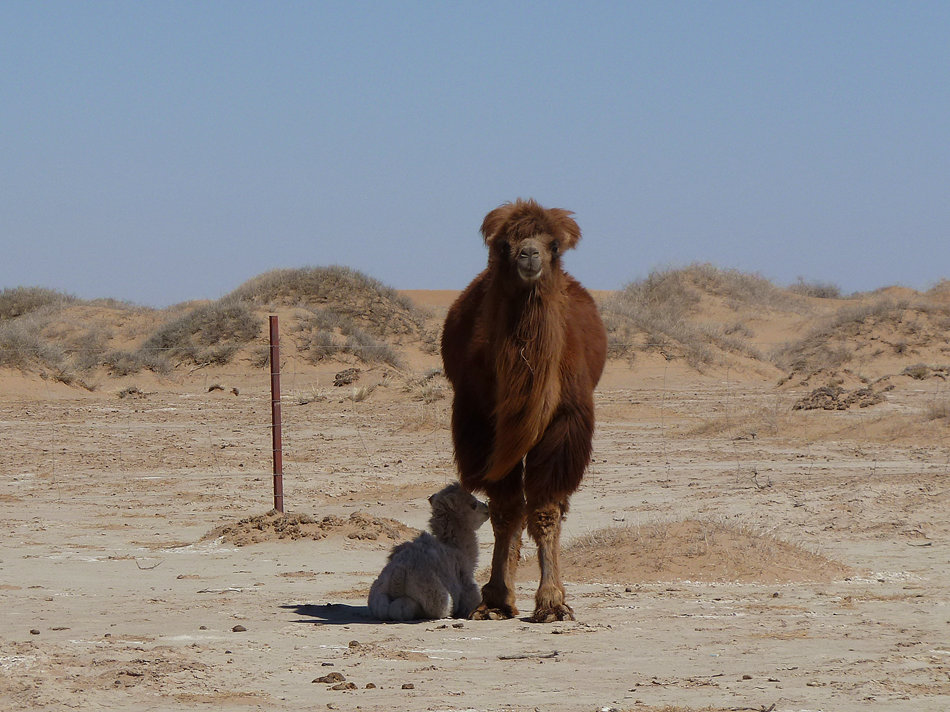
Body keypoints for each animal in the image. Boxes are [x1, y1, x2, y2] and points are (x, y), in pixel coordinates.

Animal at [440, 197, 608, 620]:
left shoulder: (564, 425)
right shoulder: (485, 427)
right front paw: (496, 598)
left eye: (554, 245)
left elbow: (545, 509)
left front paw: (552, 602)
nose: (528, 255)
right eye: (504, 245)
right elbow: (506, 510)